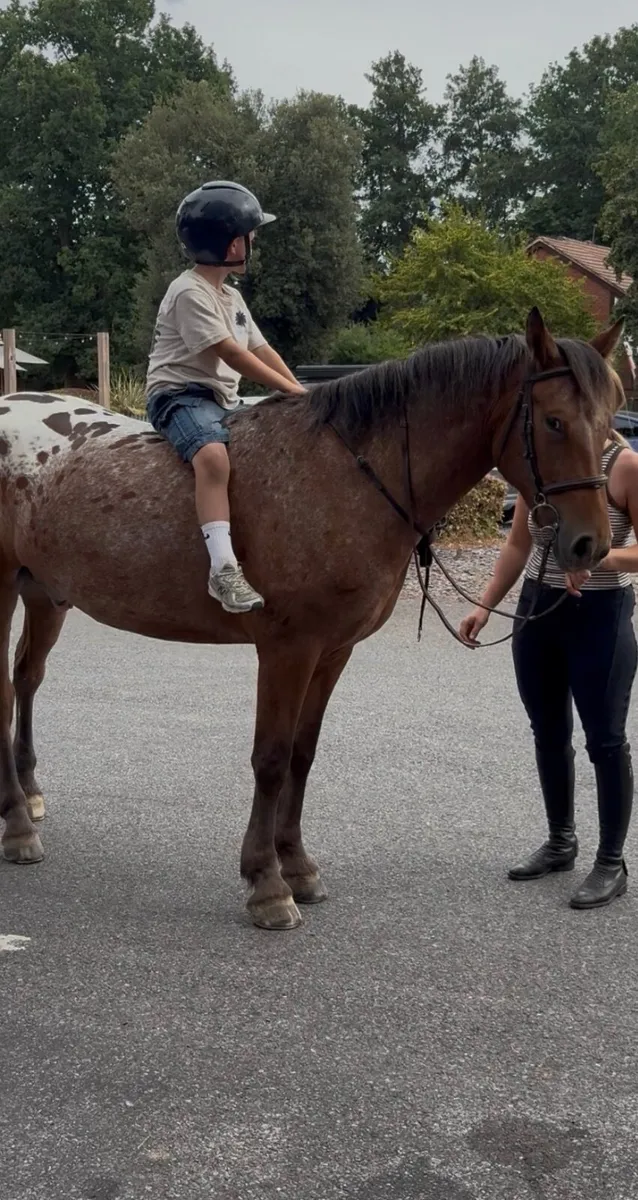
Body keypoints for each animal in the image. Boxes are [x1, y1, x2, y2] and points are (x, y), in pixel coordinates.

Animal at [0, 309, 624, 930]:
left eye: (607, 423)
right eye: (554, 421)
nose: (590, 545)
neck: (348, 474)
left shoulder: (331, 651)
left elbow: (302, 754)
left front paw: (296, 865)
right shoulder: (288, 649)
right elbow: (272, 758)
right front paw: (267, 883)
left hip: (45, 595)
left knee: (26, 680)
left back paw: (26, 795)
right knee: (7, 695)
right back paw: (17, 826)